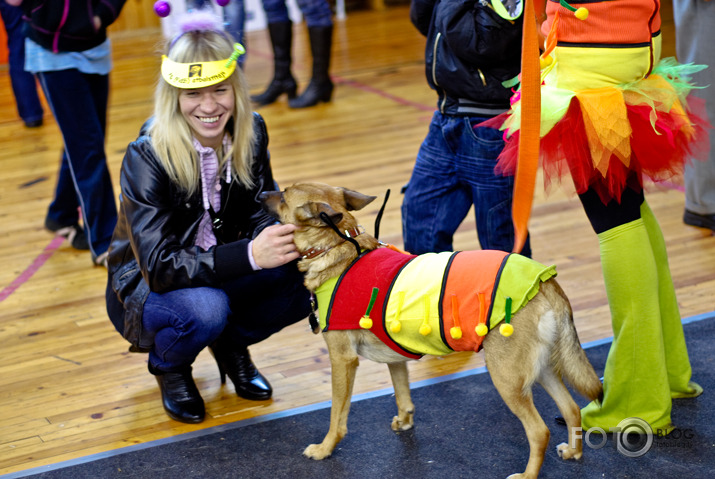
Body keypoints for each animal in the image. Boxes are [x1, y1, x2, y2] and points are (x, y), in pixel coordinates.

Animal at [260, 182, 600, 478]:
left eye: (284, 194)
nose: (260, 192)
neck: (340, 246)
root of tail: (545, 281)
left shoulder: (342, 361)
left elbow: (337, 416)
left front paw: (325, 448)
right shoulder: (394, 357)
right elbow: (403, 395)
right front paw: (405, 421)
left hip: (506, 377)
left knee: (539, 431)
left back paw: (528, 475)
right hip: (539, 369)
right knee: (572, 409)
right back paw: (574, 452)